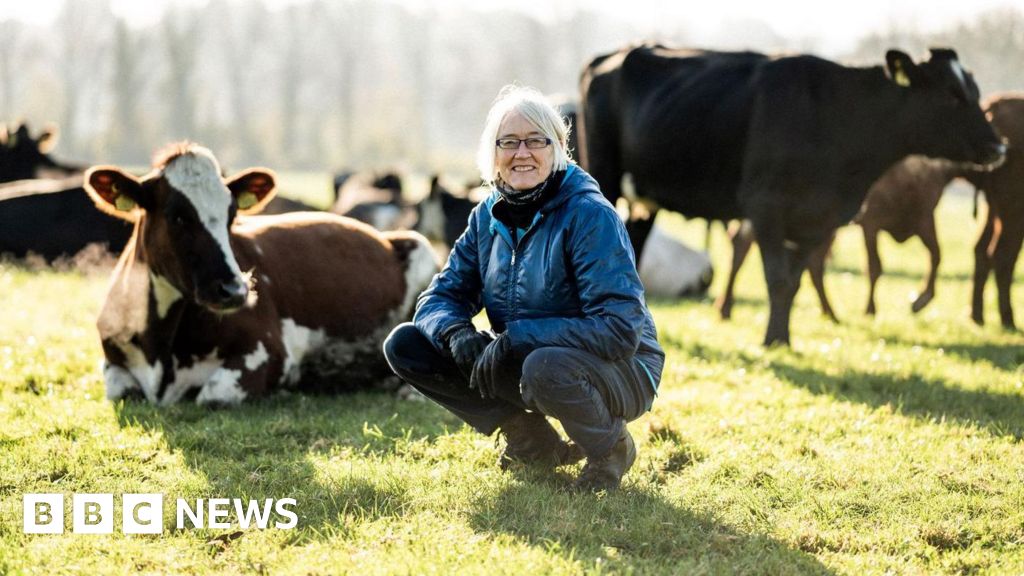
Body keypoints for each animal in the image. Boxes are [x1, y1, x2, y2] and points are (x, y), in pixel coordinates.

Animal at [86, 142, 438, 403]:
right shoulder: (112, 361)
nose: (235, 290)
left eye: (232, 215)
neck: (160, 347)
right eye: (178, 215)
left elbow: (212, 395)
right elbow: (119, 389)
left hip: (422, 251)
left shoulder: (267, 352)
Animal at [581, 44, 1003, 342]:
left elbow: (796, 281)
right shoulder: (766, 207)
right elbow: (778, 279)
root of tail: (613, 56)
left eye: (975, 91)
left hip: (644, 198)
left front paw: (782, 337)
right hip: (606, 174)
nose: (999, 146)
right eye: (951, 94)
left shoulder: (822, 218)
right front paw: (772, 340)